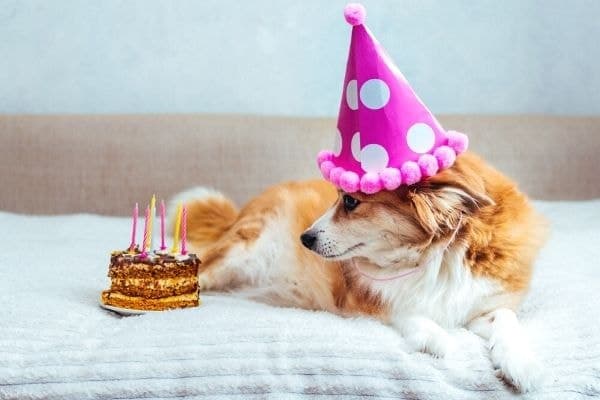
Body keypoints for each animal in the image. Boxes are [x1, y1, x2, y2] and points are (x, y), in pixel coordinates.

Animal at [171, 152, 548, 392]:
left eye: (350, 201)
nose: (304, 238)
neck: (437, 255)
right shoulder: (366, 299)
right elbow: (409, 312)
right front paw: (440, 339)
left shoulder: (482, 302)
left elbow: (506, 319)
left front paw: (521, 363)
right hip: (241, 247)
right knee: (204, 270)